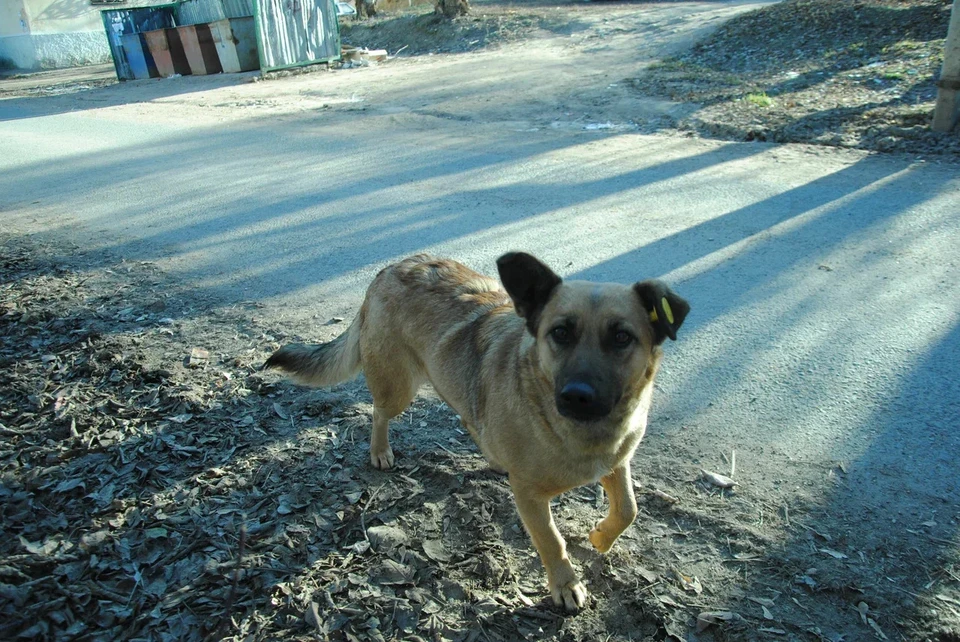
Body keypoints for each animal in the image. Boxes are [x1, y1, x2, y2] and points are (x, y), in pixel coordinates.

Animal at [268, 251, 688, 608]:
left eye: (622, 337)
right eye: (560, 333)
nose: (577, 396)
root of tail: (392, 267)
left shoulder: (617, 463)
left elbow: (629, 509)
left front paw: (601, 536)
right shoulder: (531, 497)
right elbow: (551, 541)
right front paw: (565, 584)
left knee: (469, 418)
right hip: (397, 387)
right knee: (379, 413)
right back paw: (380, 450)